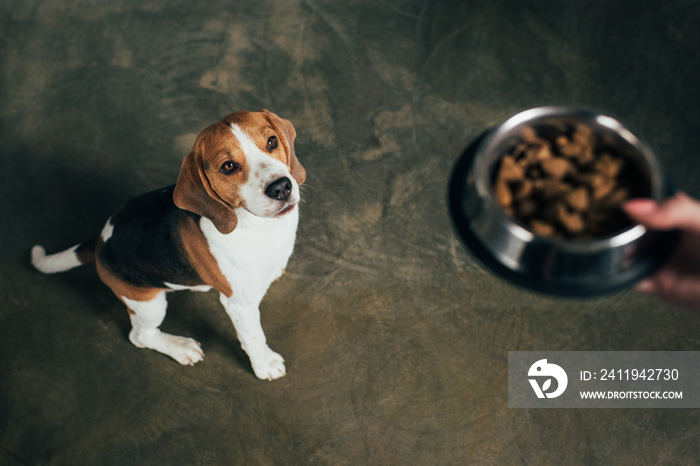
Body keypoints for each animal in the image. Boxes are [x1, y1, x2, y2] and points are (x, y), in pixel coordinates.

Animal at [30, 111, 304, 380]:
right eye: (228, 167)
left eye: (271, 142)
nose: (281, 187)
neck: (258, 227)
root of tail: (100, 241)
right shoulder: (240, 305)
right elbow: (254, 336)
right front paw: (265, 365)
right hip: (149, 304)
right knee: (140, 336)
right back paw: (180, 347)